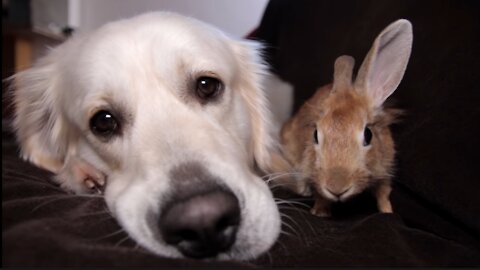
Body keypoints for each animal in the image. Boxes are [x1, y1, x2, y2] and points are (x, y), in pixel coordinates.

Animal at [278, 20, 412, 216]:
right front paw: (320, 213)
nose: (337, 188)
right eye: (315, 135)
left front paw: (387, 211)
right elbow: (320, 195)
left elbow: (383, 193)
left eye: (368, 135)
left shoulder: (386, 168)